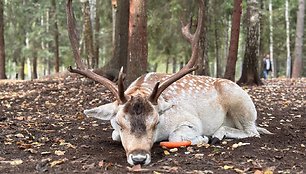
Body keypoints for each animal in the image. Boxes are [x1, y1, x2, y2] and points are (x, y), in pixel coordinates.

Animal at [65, 0, 272, 166]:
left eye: (156, 122)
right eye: (119, 123)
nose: (139, 158)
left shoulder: (191, 120)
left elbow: (175, 135)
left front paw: (202, 138)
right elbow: (114, 135)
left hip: (241, 103)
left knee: (253, 131)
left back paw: (217, 134)